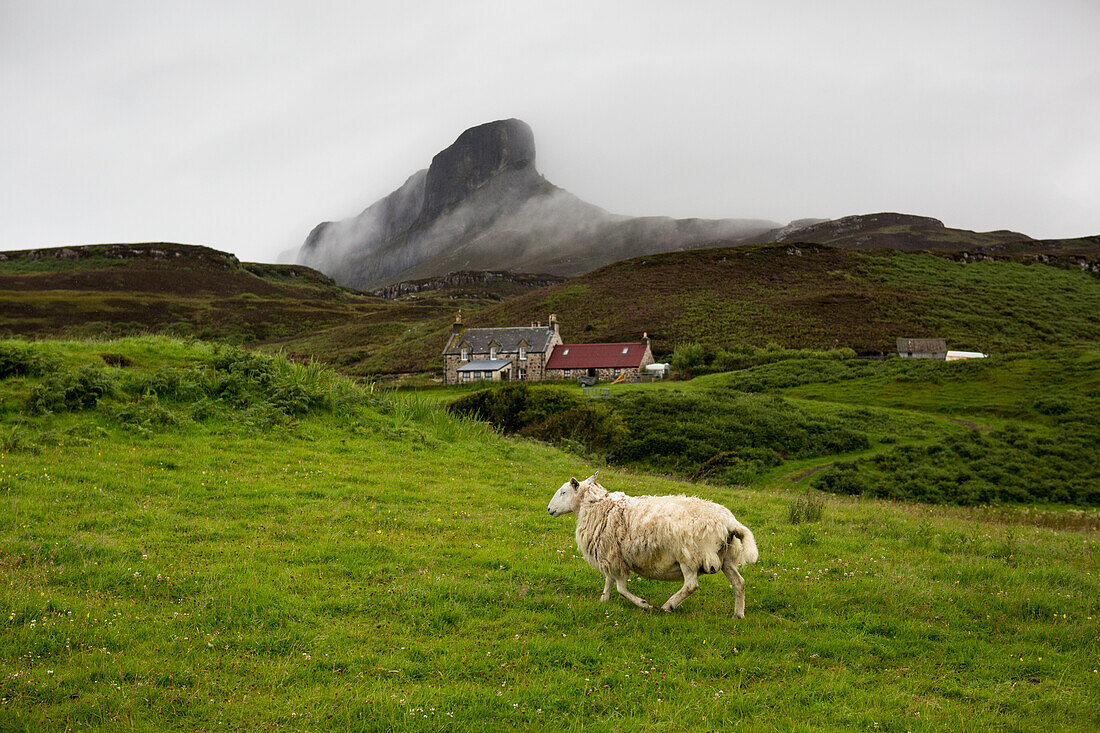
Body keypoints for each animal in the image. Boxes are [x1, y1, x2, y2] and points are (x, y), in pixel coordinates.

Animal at [547, 471, 761, 611]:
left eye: (563, 492)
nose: (549, 509)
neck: (597, 505)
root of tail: (729, 522)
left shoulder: (614, 556)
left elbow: (620, 588)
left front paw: (644, 604)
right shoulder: (610, 555)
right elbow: (609, 582)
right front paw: (603, 601)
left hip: (690, 556)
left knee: (691, 585)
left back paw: (668, 605)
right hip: (727, 556)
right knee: (739, 583)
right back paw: (738, 615)